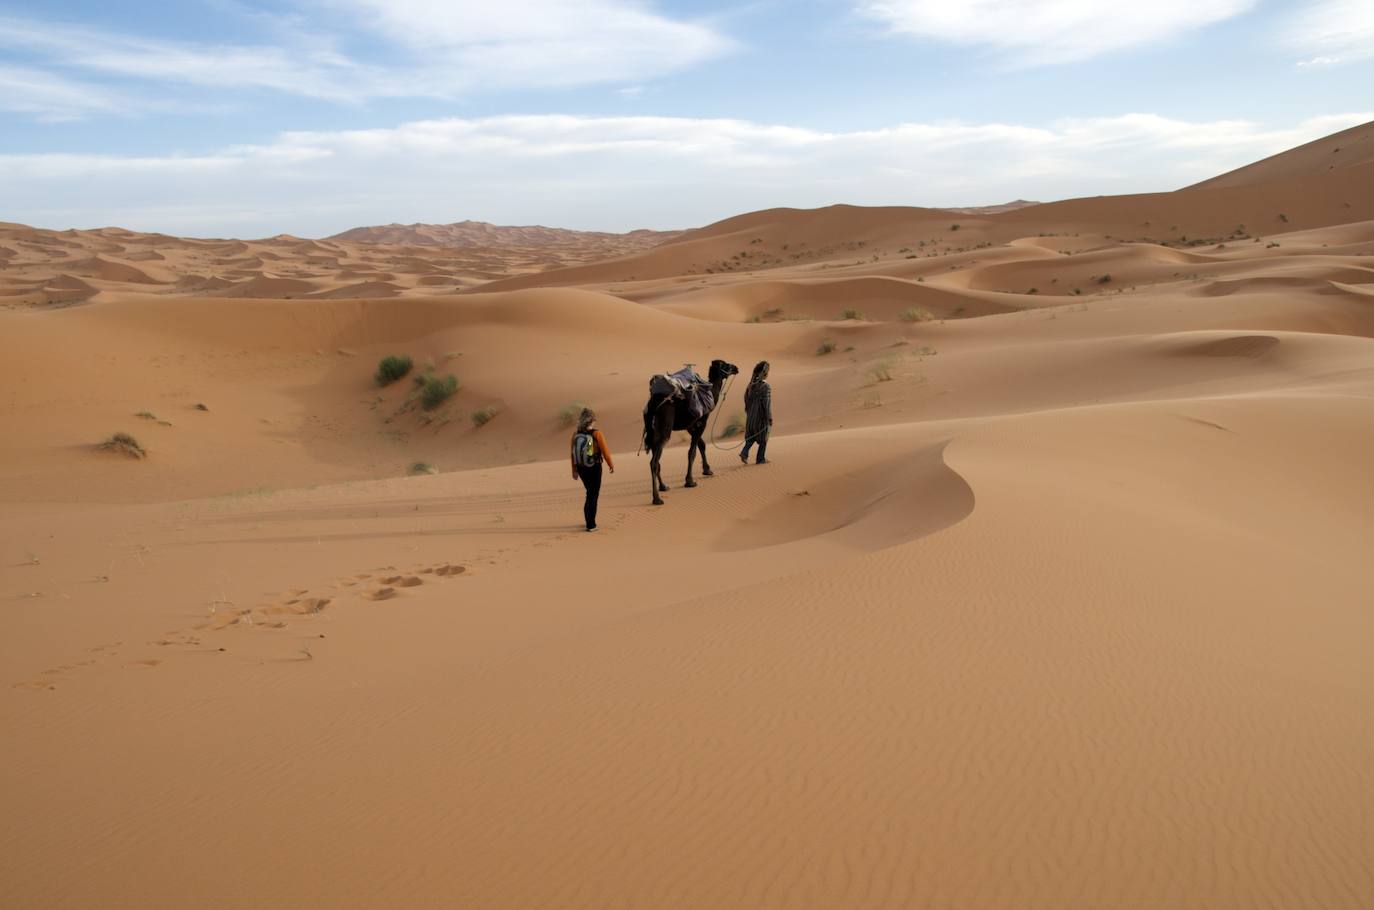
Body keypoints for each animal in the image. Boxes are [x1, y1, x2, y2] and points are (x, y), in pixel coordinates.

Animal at [643, 362, 741, 505]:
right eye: (725, 365)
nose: (736, 368)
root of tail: (653, 403)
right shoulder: (701, 422)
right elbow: (692, 452)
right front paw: (690, 481)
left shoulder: (691, 426)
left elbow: (701, 445)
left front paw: (707, 470)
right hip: (664, 428)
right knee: (654, 462)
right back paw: (657, 498)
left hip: (652, 430)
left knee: (656, 457)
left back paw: (664, 486)